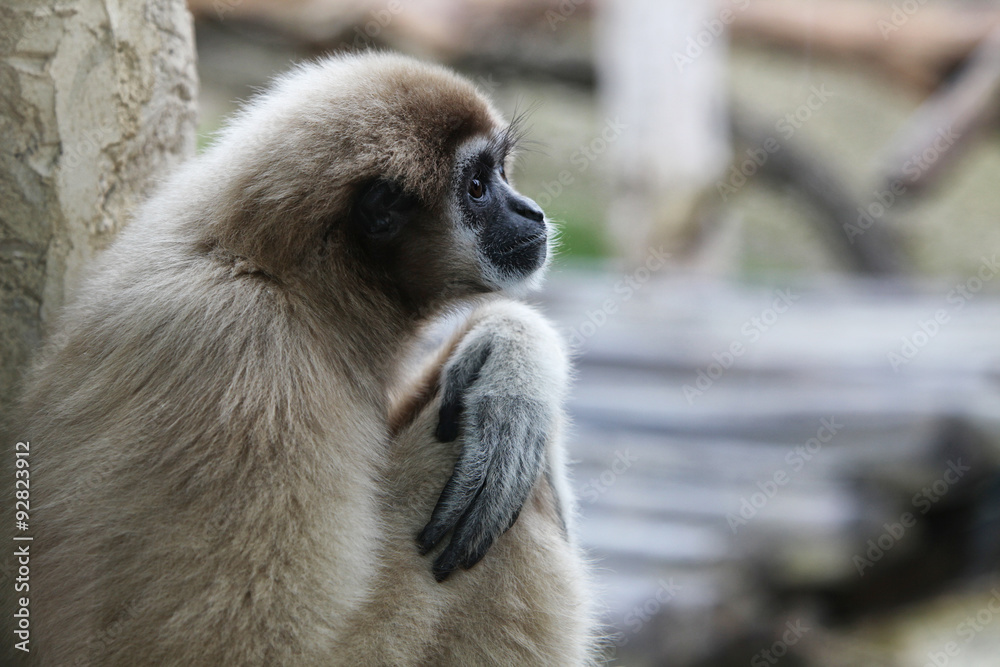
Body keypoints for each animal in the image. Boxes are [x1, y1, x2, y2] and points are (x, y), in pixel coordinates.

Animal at [11, 52, 598, 666]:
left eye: (500, 173)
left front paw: (512, 355)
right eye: (478, 187)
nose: (530, 211)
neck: (286, 276)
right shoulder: (247, 362)